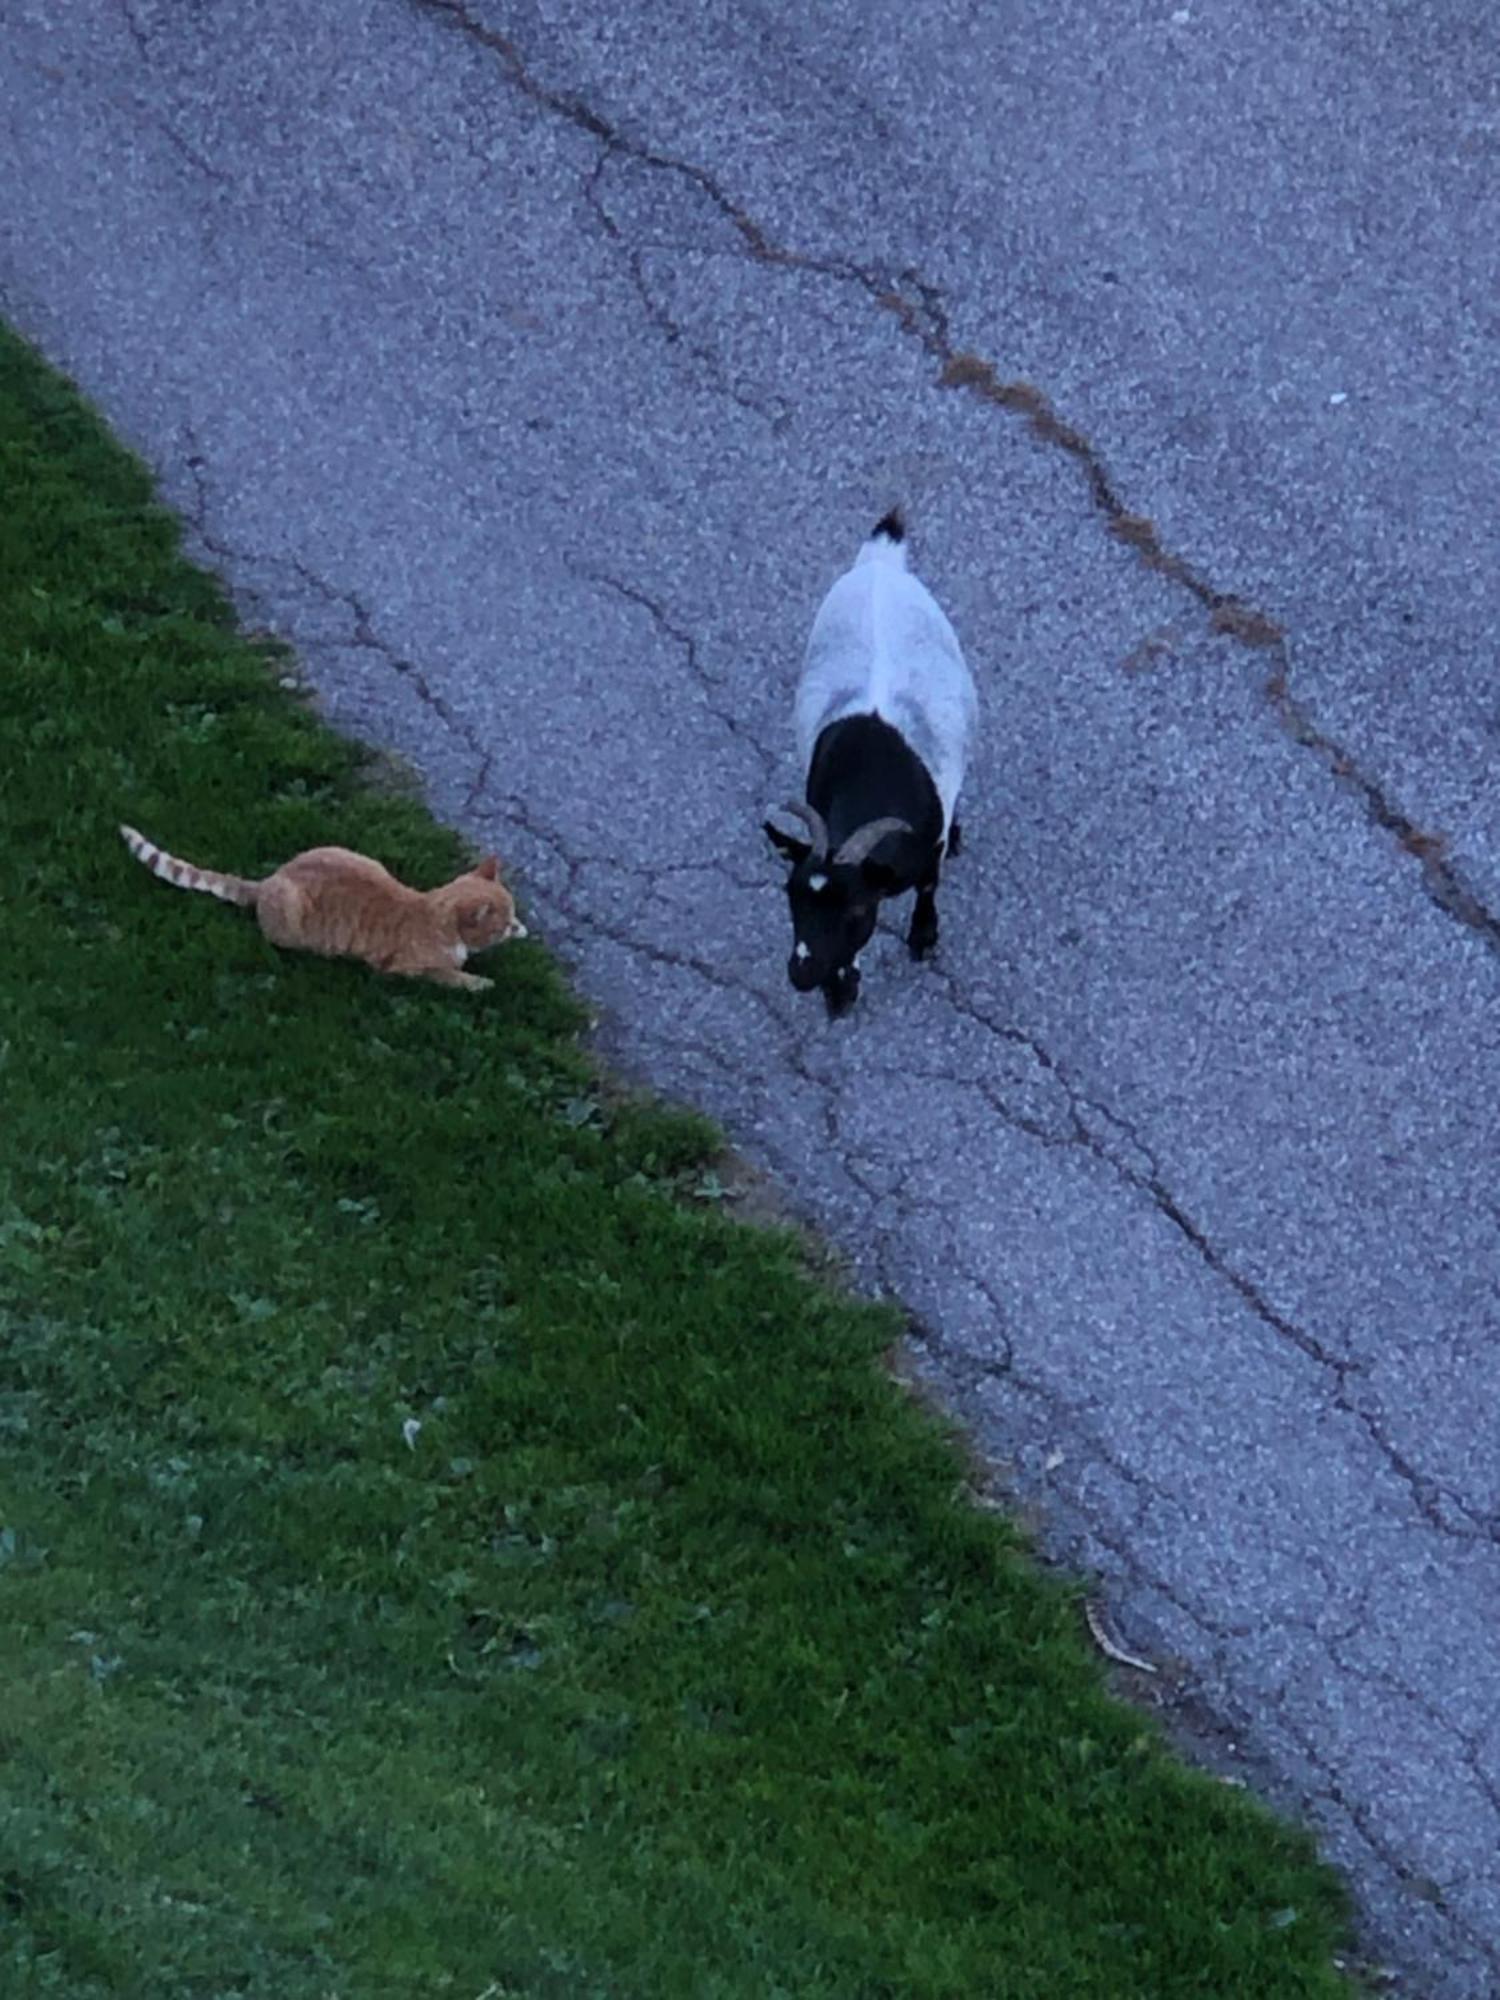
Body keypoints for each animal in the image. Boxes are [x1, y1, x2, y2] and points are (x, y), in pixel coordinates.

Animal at [119, 820, 528, 992]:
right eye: (505, 923)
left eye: (514, 917)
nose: (520, 928)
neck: (432, 912)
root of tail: (269, 880)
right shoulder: (400, 970)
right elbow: (448, 976)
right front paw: (479, 982)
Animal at [768, 512, 980, 1016]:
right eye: (791, 896)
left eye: (857, 910)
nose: (802, 974)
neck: (872, 782)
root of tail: (881, 563)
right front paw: (840, 990)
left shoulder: (927, 852)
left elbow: (929, 887)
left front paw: (924, 937)